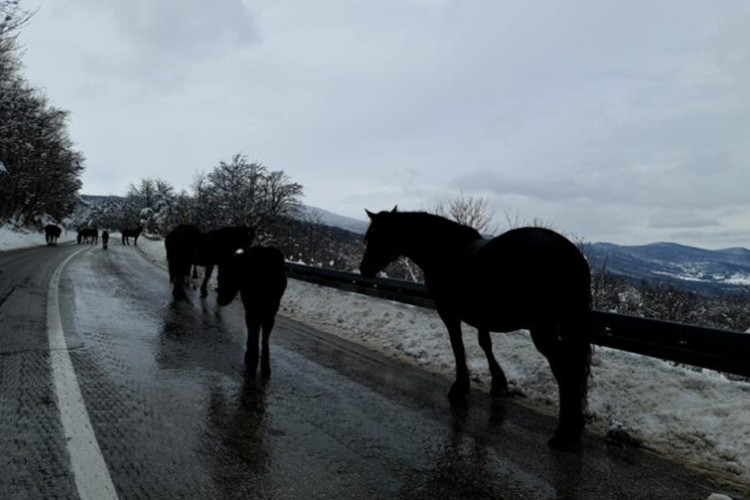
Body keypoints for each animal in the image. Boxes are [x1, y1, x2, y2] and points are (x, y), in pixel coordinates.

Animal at [219, 246, 290, 376]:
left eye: (230, 274)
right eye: (219, 274)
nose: (220, 299)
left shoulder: (269, 315)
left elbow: (264, 339)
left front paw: (264, 364)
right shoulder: (253, 311)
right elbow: (255, 333)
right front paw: (253, 357)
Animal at [358, 207, 592, 450]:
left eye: (378, 235)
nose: (364, 269)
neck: (444, 251)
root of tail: (571, 255)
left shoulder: (449, 312)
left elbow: (458, 345)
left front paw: (460, 386)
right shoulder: (480, 316)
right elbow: (485, 343)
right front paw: (498, 382)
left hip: (543, 328)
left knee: (565, 368)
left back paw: (565, 431)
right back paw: (575, 426)